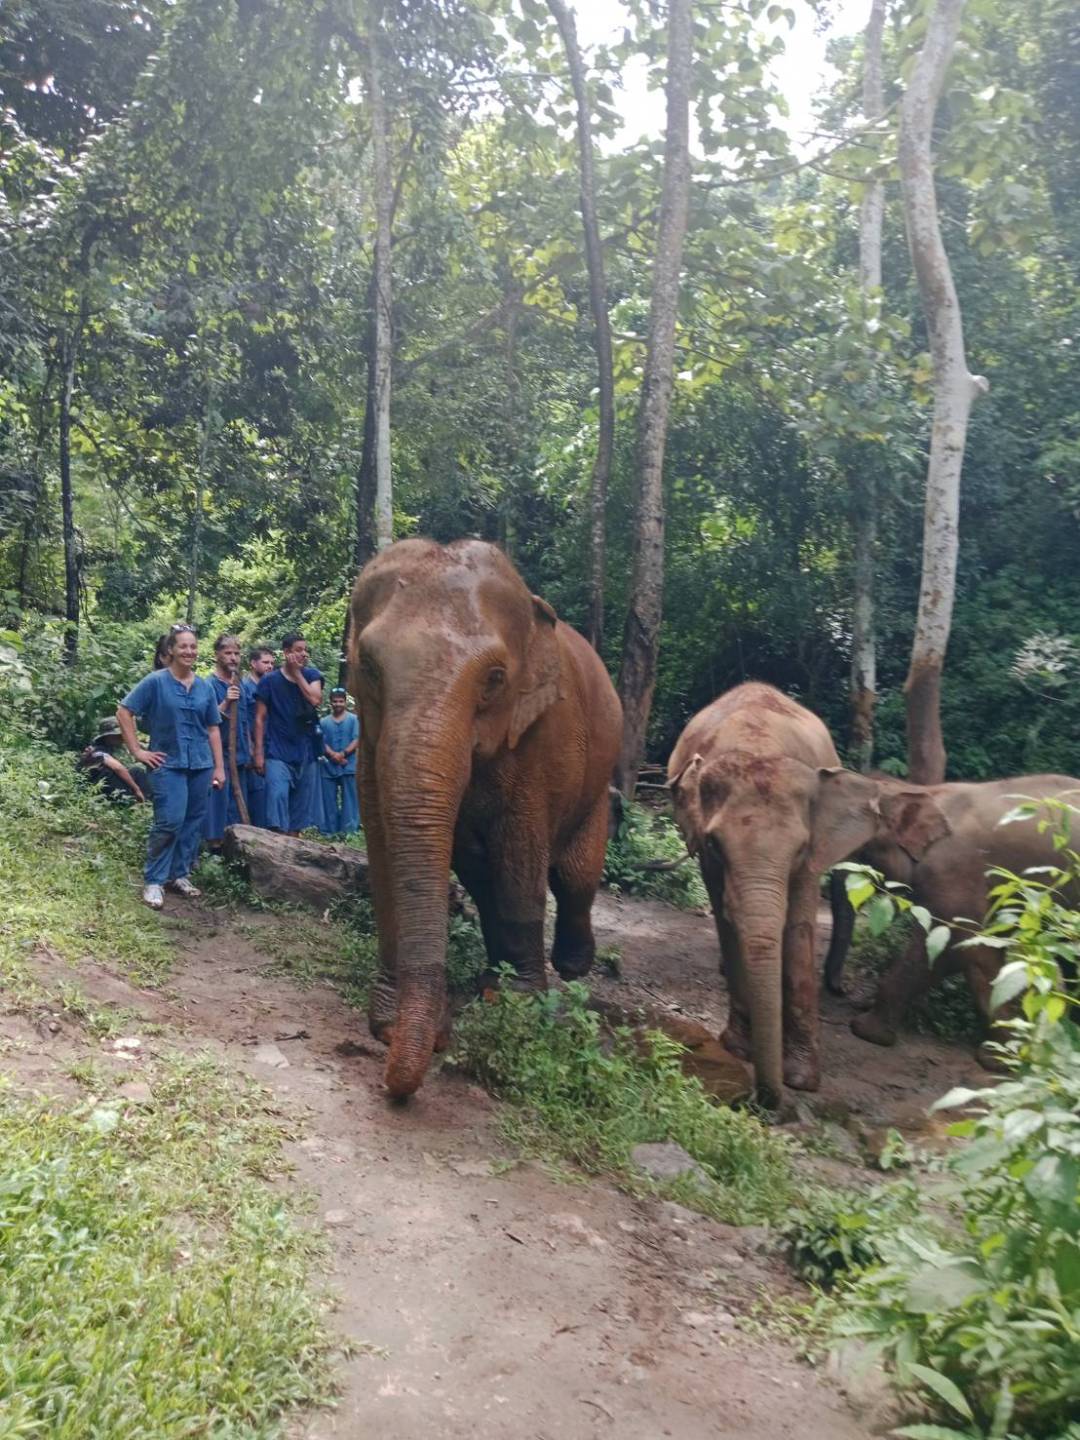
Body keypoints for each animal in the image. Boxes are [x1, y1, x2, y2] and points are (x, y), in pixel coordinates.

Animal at [348, 537, 622, 1099]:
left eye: (495, 679)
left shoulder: (543, 734)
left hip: (598, 779)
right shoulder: (368, 739)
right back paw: (492, 983)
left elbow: (520, 857)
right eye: (369, 667)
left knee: (574, 876)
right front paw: (389, 1024)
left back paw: (568, 968)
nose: (438, 1041)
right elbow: (383, 841)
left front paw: (524, 1012)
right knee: (483, 876)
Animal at [667, 682, 870, 1109]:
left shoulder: (813, 854)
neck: (759, 744)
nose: (764, 1101)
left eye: (800, 848)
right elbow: (727, 921)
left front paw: (802, 1079)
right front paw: (738, 1049)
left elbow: (798, 927)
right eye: (715, 844)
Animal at [821, 772, 1080, 1065]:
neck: (917, 790)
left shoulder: (955, 870)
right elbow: (981, 950)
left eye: (862, 852)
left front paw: (865, 1030)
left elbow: (955, 946)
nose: (842, 990)